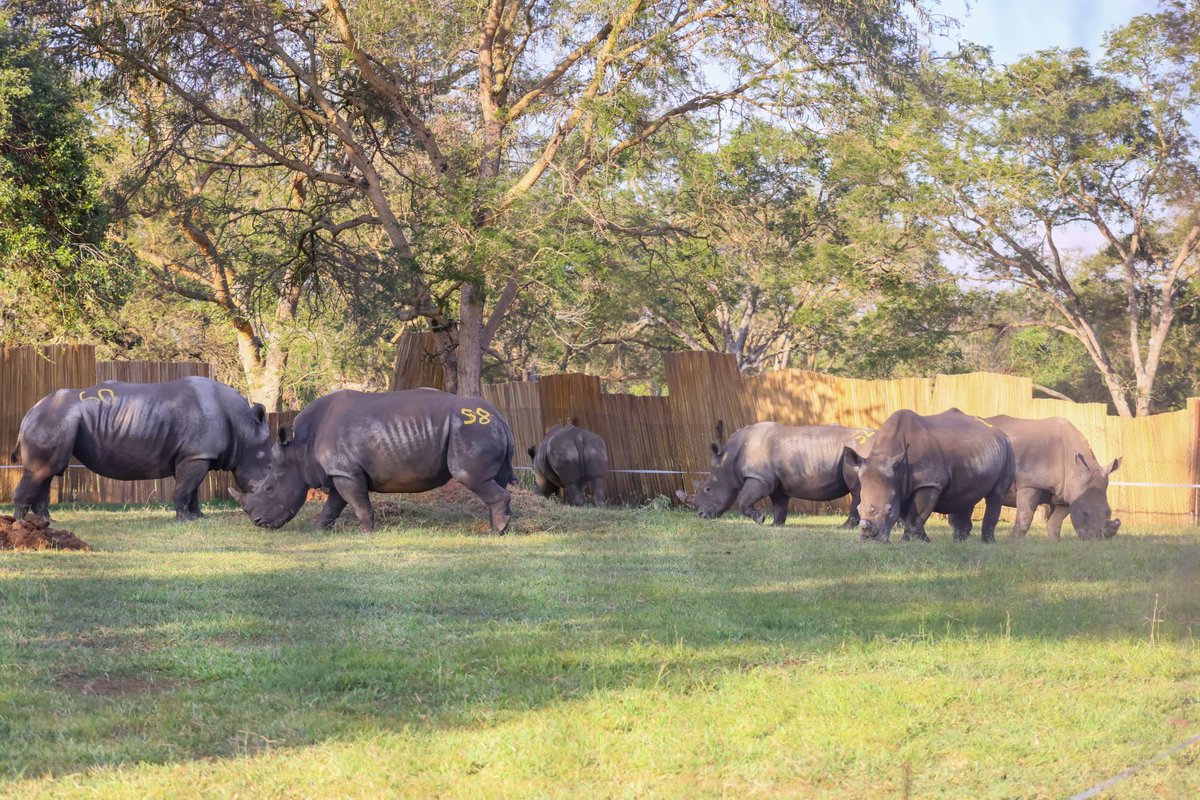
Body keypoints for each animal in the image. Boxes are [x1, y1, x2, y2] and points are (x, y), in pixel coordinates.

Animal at [12, 377, 271, 521]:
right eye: (269, 467)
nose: (258, 516)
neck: (244, 428)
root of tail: (29, 412)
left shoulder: (194, 455)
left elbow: (193, 489)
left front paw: (199, 517)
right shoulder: (196, 455)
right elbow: (186, 488)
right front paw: (185, 520)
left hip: (56, 418)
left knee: (49, 472)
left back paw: (47, 522)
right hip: (53, 418)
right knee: (42, 471)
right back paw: (21, 524)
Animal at [230, 388, 515, 533]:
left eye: (268, 488)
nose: (258, 523)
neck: (299, 449)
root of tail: (500, 417)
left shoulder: (346, 472)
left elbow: (358, 504)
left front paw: (367, 533)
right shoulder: (340, 472)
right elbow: (333, 506)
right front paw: (319, 530)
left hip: (471, 429)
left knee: (471, 476)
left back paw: (497, 531)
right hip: (480, 428)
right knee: (493, 480)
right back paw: (497, 528)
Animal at [675, 421, 875, 527]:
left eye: (708, 489)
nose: (701, 516)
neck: (729, 459)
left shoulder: (759, 478)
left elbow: (744, 501)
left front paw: (760, 518)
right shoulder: (777, 484)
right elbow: (779, 505)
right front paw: (775, 524)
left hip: (859, 451)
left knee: (857, 491)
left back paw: (845, 528)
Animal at [845, 408, 1015, 543]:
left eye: (889, 509)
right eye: (858, 508)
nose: (869, 538)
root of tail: (999, 432)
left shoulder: (928, 483)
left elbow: (914, 516)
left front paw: (908, 542)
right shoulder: (901, 485)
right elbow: (909, 516)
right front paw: (924, 541)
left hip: (1007, 448)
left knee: (995, 496)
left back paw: (988, 543)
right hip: (976, 451)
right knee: (966, 496)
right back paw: (959, 541)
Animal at [986, 415, 1121, 540]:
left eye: (1109, 511)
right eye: (1085, 513)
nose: (1097, 540)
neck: (1074, 469)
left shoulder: (1067, 493)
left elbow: (1056, 521)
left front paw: (1054, 541)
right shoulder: (1030, 483)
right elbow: (1026, 515)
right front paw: (1013, 541)